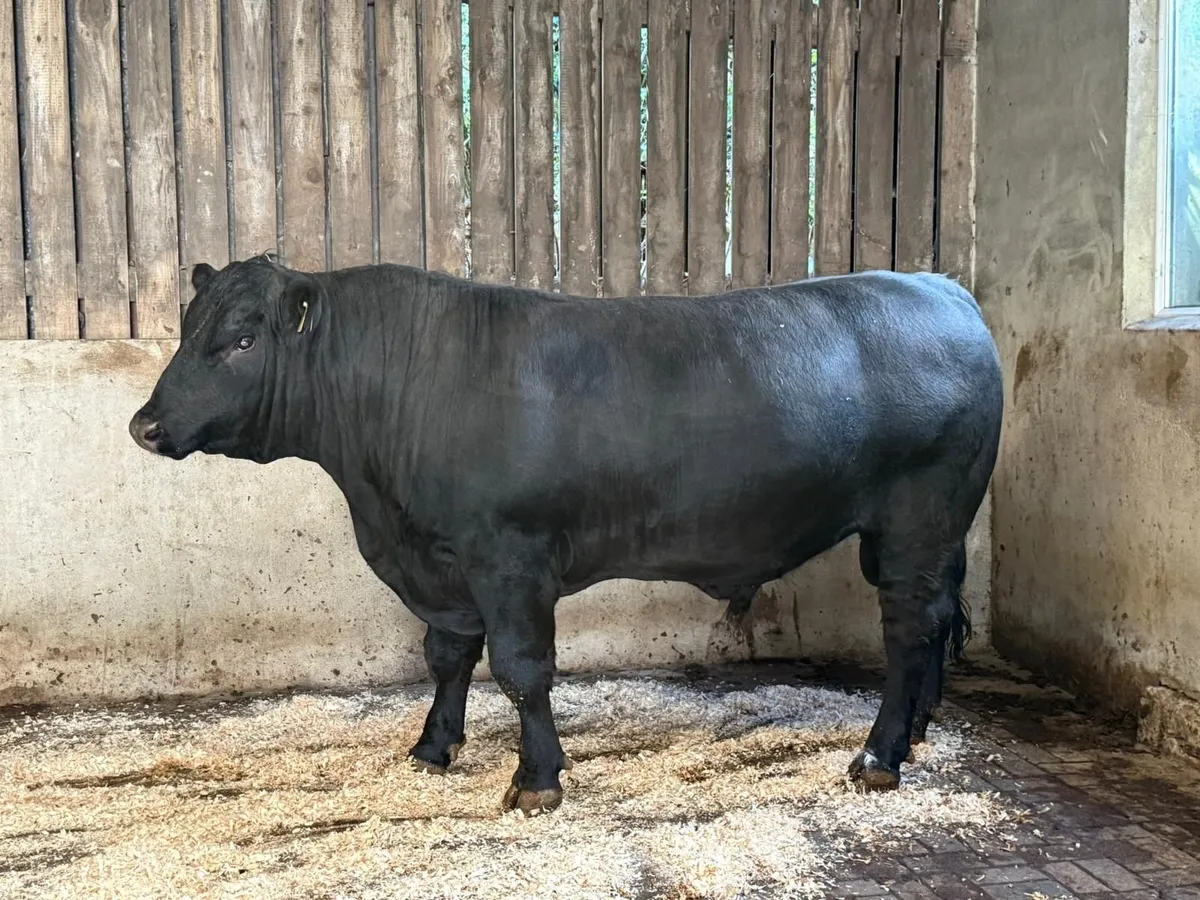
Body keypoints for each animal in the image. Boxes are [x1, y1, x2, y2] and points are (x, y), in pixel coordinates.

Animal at [128, 255, 1003, 815]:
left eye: (243, 341)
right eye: (188, 330)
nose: (144, 425)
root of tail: (941, 288)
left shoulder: (509, 557)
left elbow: (521, 670)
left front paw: (535, 781)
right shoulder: (444, 567)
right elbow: (448, 656)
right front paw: (433, 748)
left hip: (919, 523)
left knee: (906, 631)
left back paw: (878, 757)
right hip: (915, 538)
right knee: (930, 627)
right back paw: (915, 734)